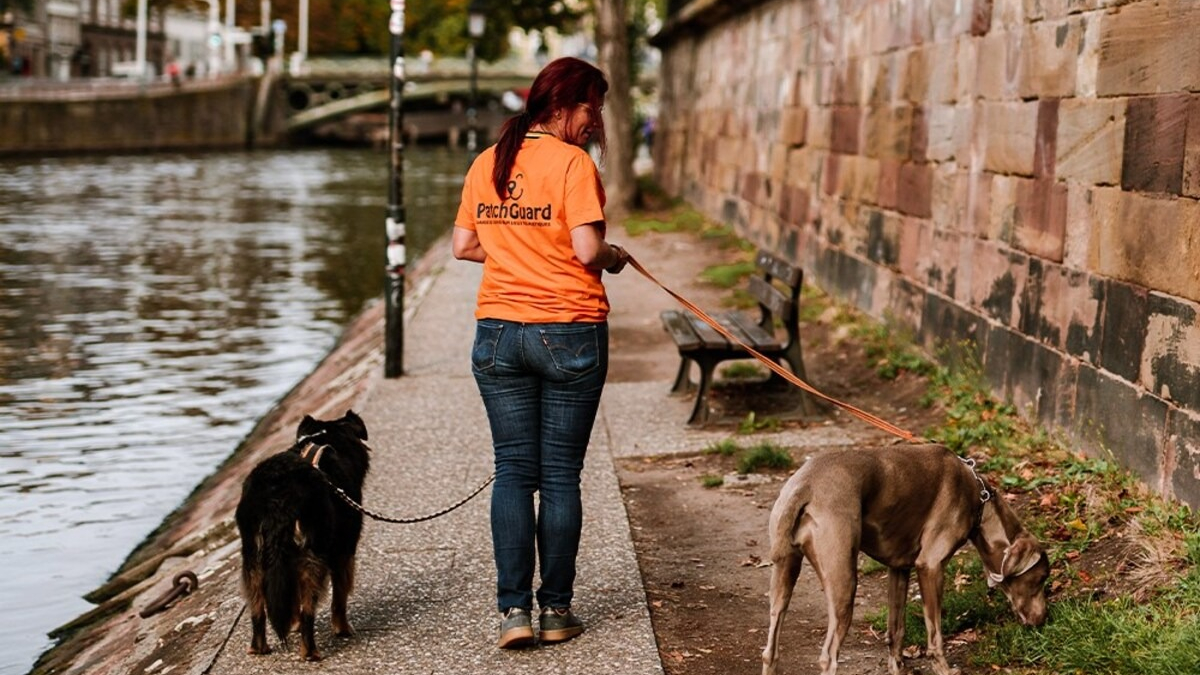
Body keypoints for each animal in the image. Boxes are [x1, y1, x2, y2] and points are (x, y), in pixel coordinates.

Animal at [232, 408, 364, 658]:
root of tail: (276, 494)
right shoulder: (344, 549)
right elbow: (340, 596)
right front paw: (342, 629)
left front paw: (291, 623)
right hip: (313, 553)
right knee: (308, 610)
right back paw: (310, 653)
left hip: (252, 556)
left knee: (258, 611)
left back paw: (259, 648)